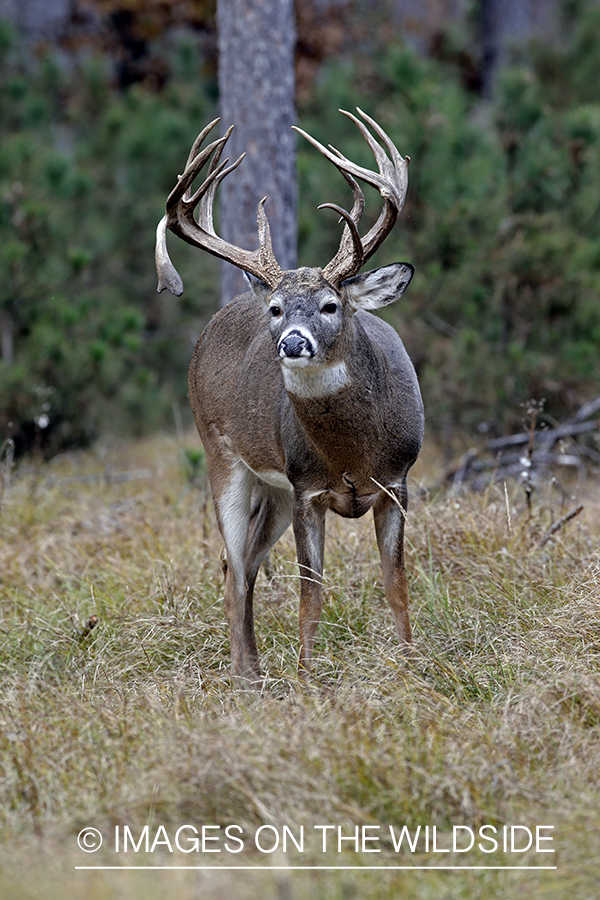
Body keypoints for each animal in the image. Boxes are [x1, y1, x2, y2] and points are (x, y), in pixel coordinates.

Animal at [157, 109, 424, 684]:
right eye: (277, 309)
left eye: (330, 305)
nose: (292, 342)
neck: (351, 454)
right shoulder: (306, 489)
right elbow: (310, 596)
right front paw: (307, 680)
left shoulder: (396, 482)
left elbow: (396, 586)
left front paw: (415, 671)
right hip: (223, 456)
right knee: (235, 568)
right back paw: (245, 680)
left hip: (273, 490)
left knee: (243, 564)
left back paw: (255, 671)